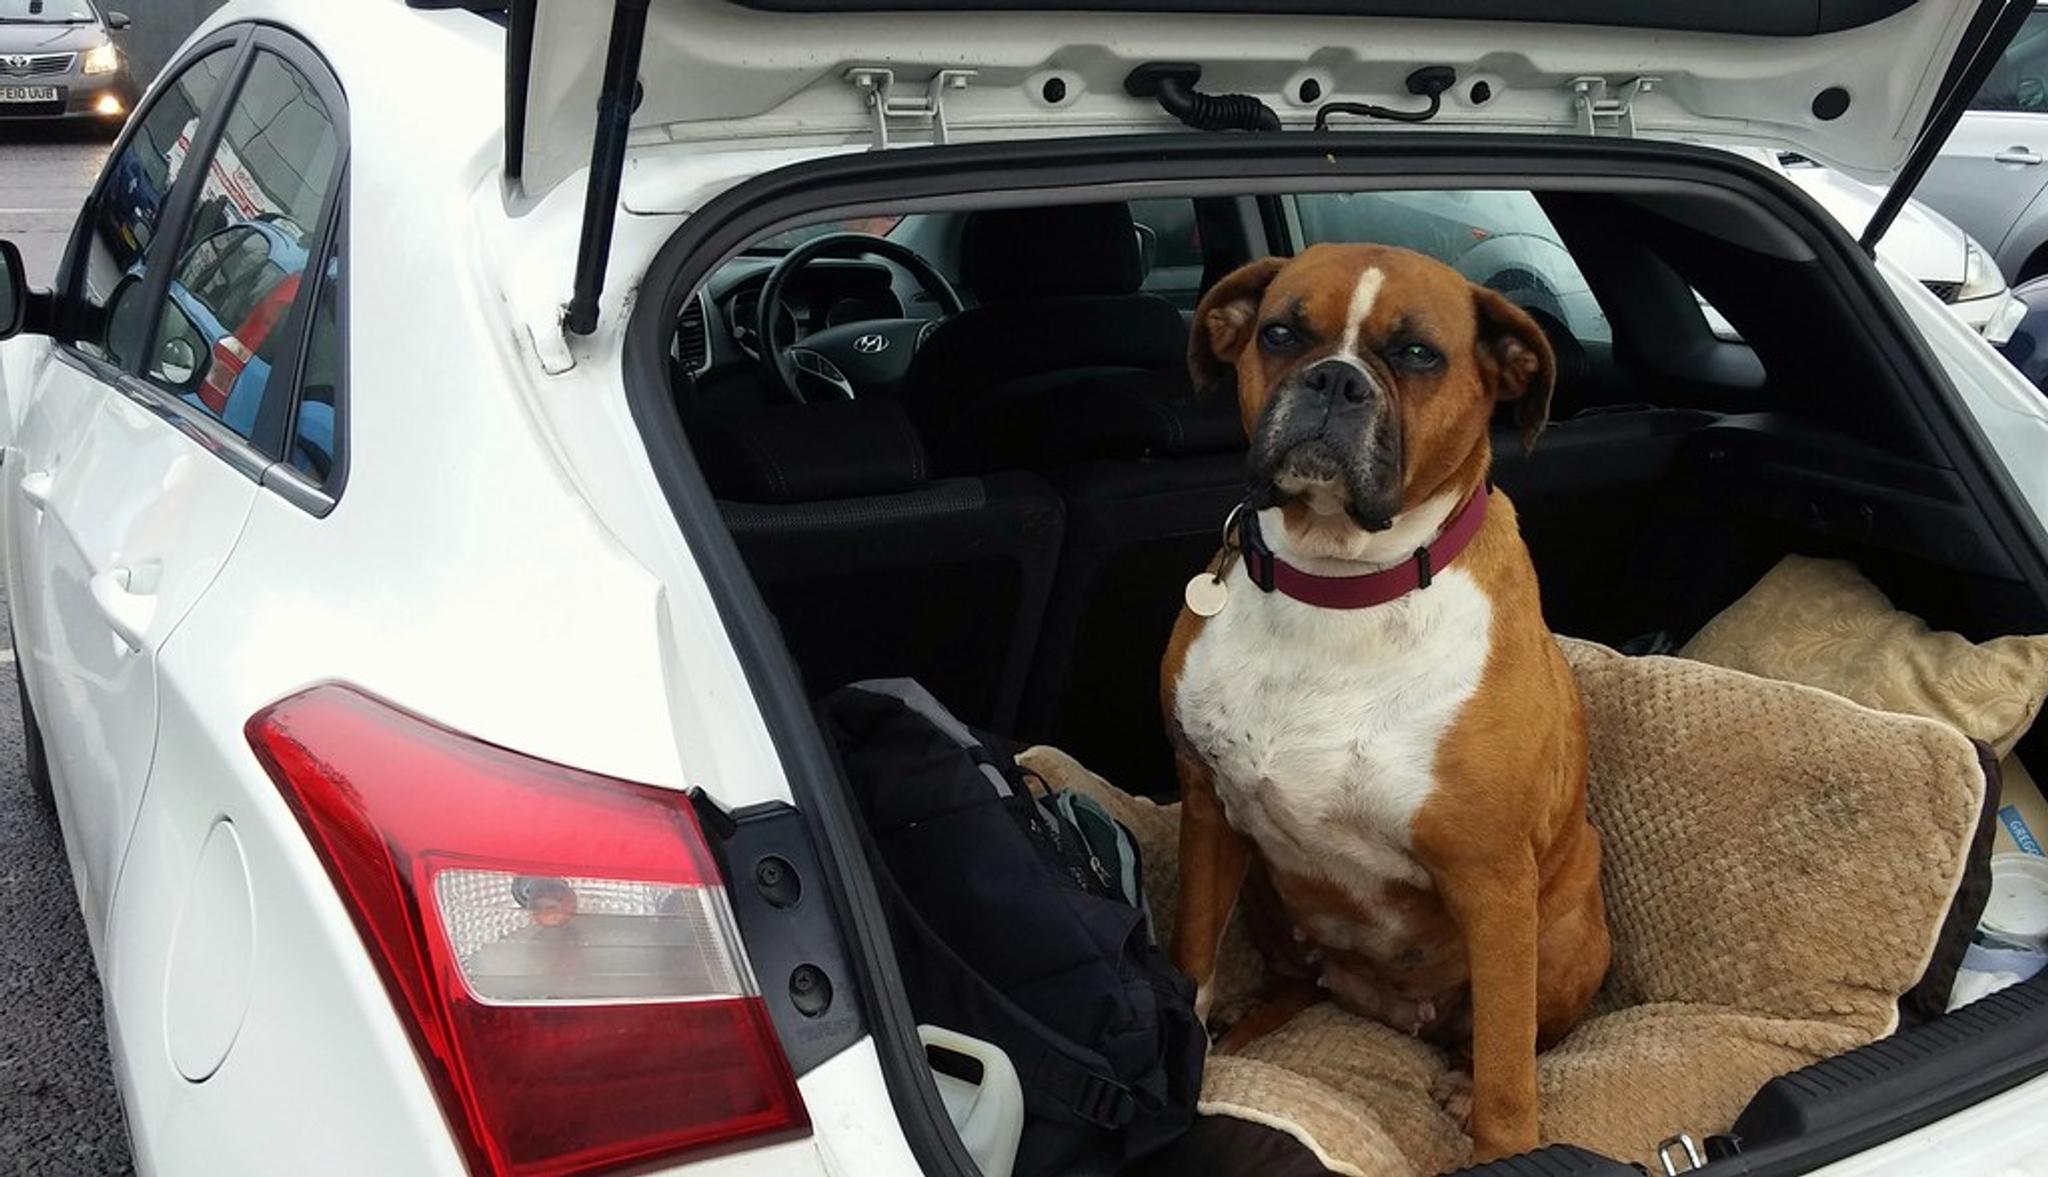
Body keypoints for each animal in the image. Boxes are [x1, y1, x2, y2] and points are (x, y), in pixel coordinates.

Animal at [1163, 241, 1605, 1162]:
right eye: (1282, 333)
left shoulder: (1493, 882)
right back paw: (1250, 1021)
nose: (1334, 380)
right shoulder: (1207, 807)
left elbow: (1508, 1071)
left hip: (1562, 929)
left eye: (1416, 354)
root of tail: (1395, 1012)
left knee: (1506, 1039)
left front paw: (1502, 1145)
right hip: (1266, 893)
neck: (1338, 581)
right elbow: (1191, 956)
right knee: (1296, 977)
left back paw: (1457, 1080)